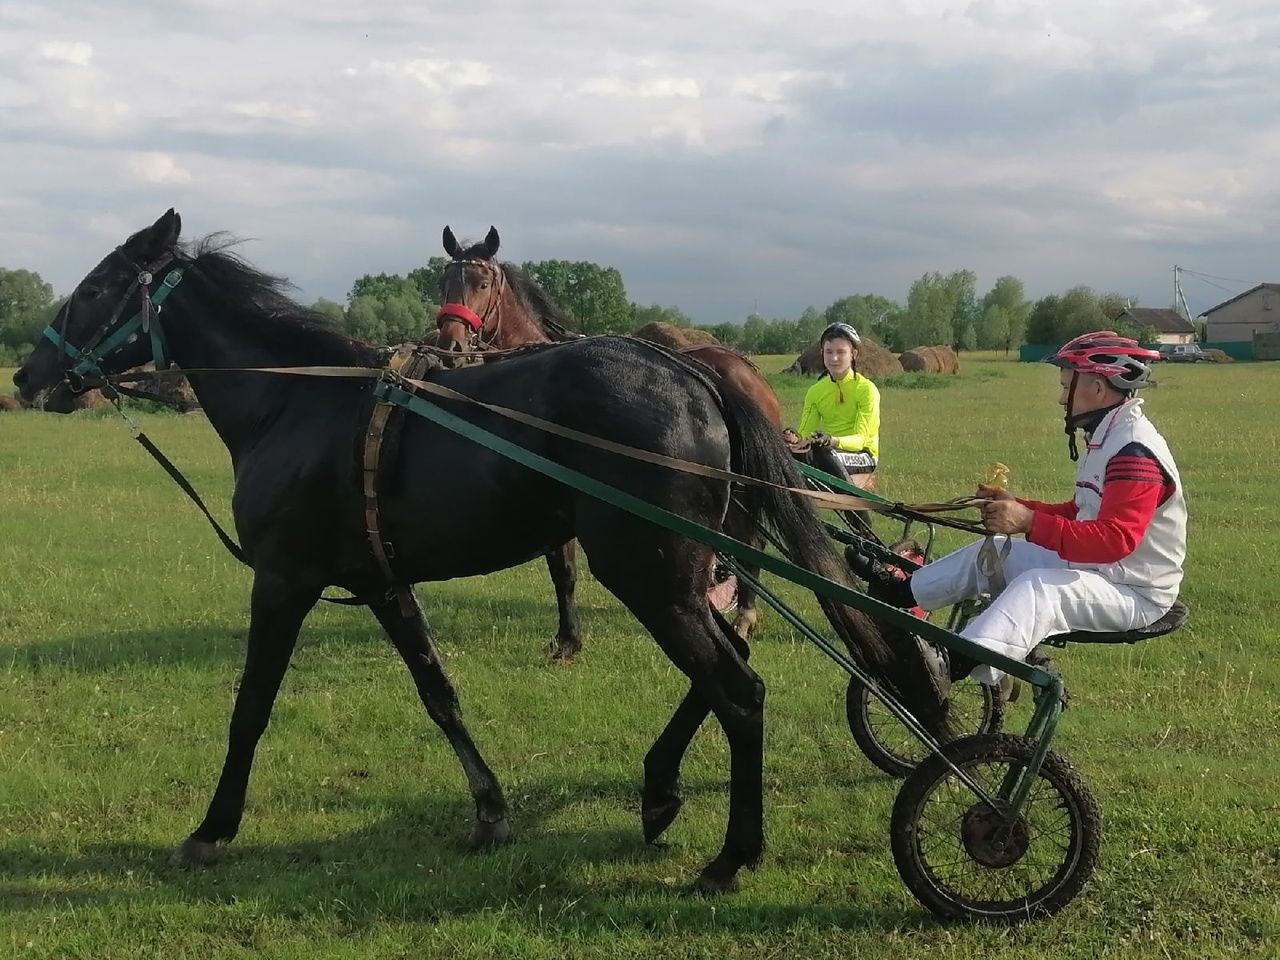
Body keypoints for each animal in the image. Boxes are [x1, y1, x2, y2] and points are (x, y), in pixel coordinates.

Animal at [435, 227, 778, 660]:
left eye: (481, 283)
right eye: (444, 282)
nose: (450, 346)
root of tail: (746, 371)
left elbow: (564, 568)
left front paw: (568, 640)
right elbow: (562, 571)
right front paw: (568, 639)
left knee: (752, 543)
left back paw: (745, 614)